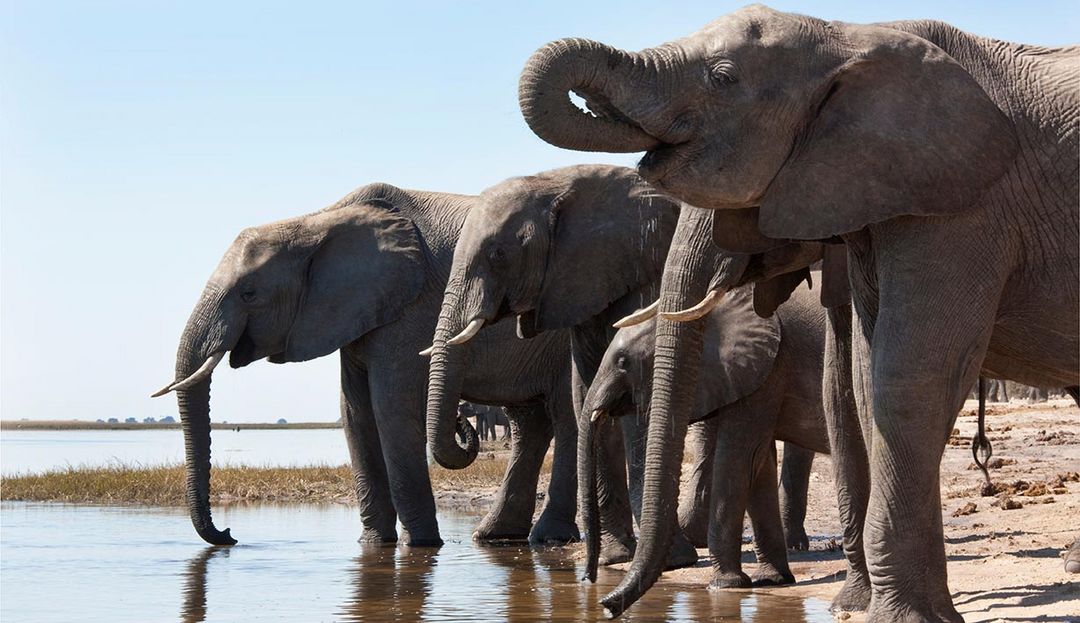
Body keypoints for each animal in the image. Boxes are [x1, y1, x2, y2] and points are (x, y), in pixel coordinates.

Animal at [150, 178, 583, 544]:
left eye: (249, 293)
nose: (229, 535)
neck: (317, 222)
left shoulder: (411, 309)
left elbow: (391, 407)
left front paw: (420, 546)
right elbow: (355, 413)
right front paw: (374, 545)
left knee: (565, 415)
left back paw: (548, 538)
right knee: (529, 421)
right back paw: (495, 535)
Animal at [583, 280, 825, 587]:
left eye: (623, 362)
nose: (588, 578)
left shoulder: (767, 371)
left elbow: (740, 457)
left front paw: (725, 585)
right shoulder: (754, 376)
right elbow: (759, 464)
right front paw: (771, 580)